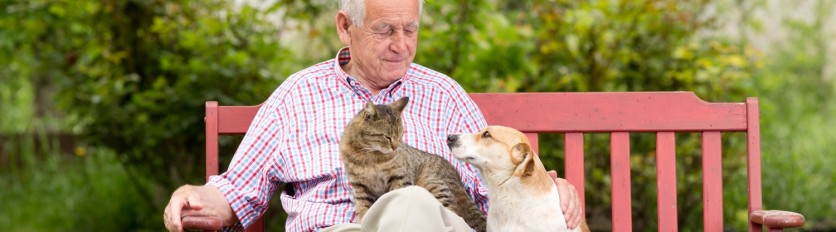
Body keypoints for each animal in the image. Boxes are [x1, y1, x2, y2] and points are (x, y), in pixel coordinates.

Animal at [338, 97, 486, 231]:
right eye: (387, 137)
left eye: (400, 135)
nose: (395, 147)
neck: (368, 155)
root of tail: (455, 175)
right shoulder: (359, 185)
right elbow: (362, 206)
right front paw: (361, 220)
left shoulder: (400, 177)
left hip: (432, 183)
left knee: (452, 213)